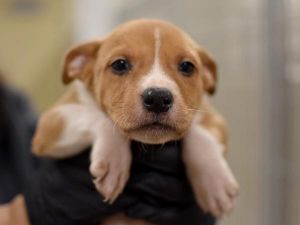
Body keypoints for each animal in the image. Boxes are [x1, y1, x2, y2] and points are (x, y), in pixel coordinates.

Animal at [32, 18, 239, 219]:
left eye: (187, 66)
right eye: (119, 64)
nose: (158, 98)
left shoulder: (213, 117)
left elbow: (200, 132)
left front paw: (214, 182)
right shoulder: (48, 125)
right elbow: (98, 117)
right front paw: (113, 158)